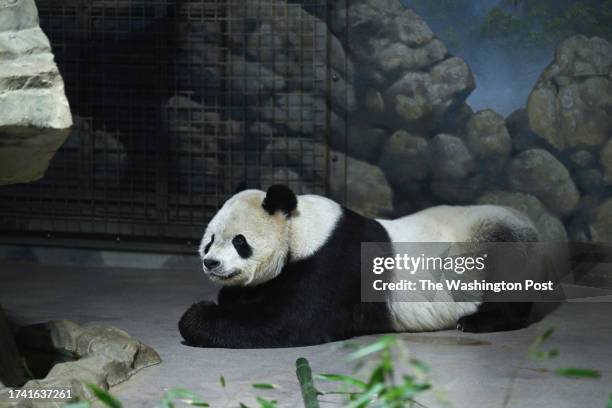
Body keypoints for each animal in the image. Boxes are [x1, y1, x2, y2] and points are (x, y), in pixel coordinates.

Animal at [179, 185, 536, 348]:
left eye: (240, 241)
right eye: (210, 240)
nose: (211, 263)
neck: (300, 228)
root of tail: (528, 222)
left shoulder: (333, 262)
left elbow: (290, 320)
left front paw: (198, 314)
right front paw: (230, 297)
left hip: (491, 243)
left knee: (509, 285)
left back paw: (477, 321)